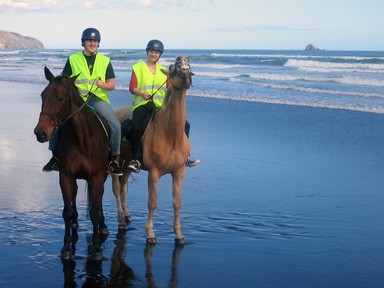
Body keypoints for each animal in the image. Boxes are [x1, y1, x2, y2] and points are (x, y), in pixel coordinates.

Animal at [33, 67, 111, 260]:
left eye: (61, 98)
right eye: (43, 95)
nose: (40, 133)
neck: (82, 137)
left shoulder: (97, 177)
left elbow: (94, 212)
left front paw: (96, 248)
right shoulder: (66, 175)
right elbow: (67, 211)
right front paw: (67, 247)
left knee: (98, 201)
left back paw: (103, 226)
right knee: (74, 199)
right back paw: (76, 223)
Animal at [112, 54, 194, 245]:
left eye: (189, 62)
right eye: (172, 66)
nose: (183, 62)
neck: (171, 135)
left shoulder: (179, 172)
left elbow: (177, 203)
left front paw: (178, 233)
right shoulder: (154, 173)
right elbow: (152, 202)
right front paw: (150, 232)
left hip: (128, 163)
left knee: (124, 183)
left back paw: (126, 214)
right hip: (116, 163)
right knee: (116, 189)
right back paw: (120, 220)